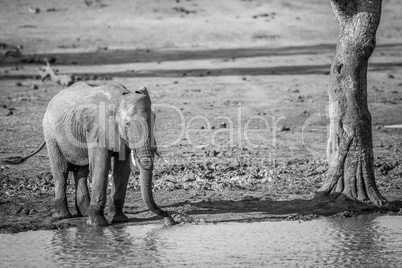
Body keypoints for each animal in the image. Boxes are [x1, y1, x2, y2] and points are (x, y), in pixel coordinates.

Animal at [1, 81, 174, 226]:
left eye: (154, 119)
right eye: (127, 124)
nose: (170, 219)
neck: (119, 97)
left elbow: (122, 168)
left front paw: (119, 220)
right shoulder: (96, 128)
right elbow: (101, 165)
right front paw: (97, 225)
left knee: (81, 171)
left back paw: (84, 213)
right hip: (51, 134)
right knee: (61, 171)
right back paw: (62, 216)